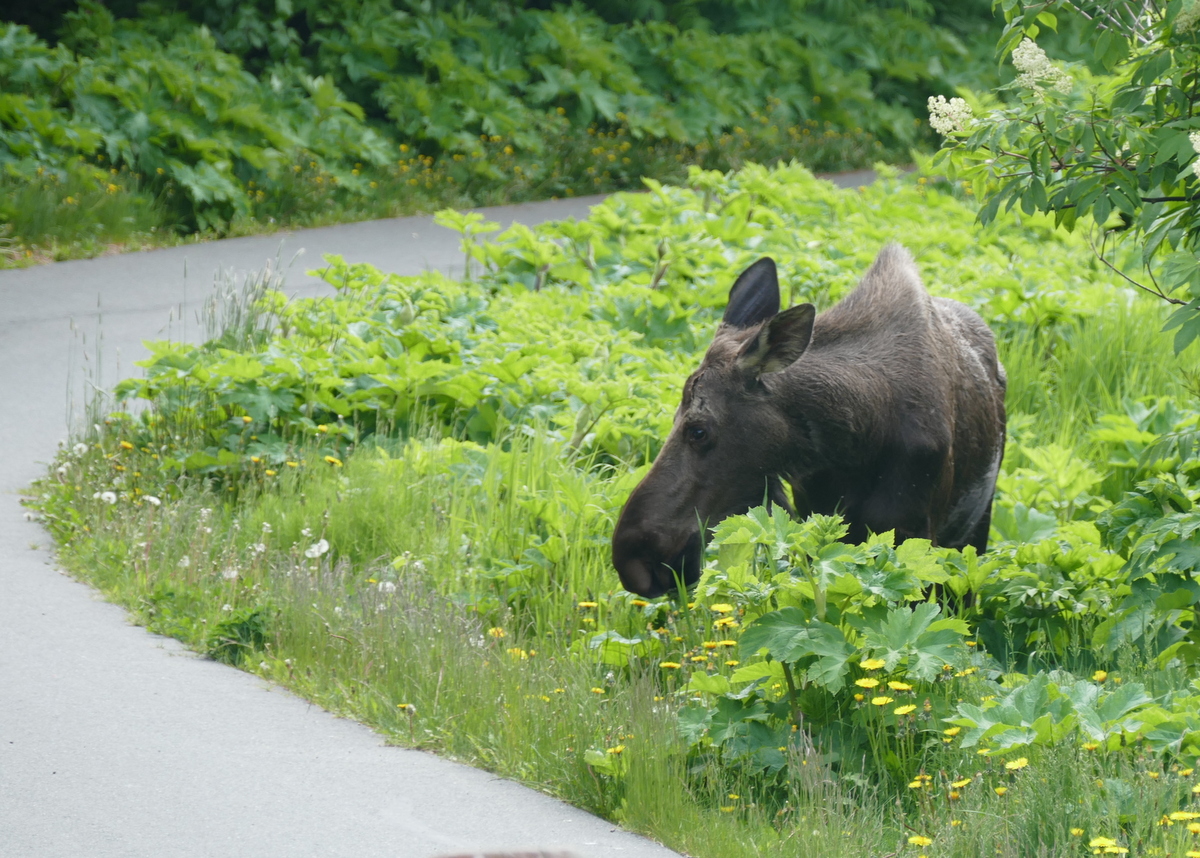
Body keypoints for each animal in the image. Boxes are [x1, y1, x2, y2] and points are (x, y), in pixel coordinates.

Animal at [614, 243, 1008, 597]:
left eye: (697, 429)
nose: (632, 559)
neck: (855, 439)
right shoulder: (815, 523)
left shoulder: (912, 535)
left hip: (976, 529)